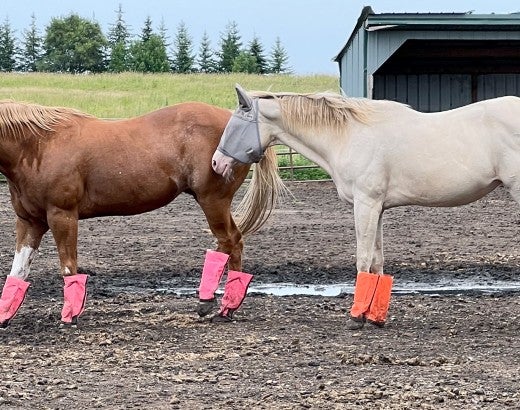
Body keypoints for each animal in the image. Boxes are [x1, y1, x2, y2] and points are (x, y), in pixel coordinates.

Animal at [0, 99, 284, 326]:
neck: (40, 145)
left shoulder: (62, 216)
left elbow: (68, 268)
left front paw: (70, 316)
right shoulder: (30, 221)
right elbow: (17, 271)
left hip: (213, 200)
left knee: (229, 241)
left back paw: (213, 303)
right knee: (233, 243)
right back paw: (227, 307)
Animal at [211, 84, 520, 330]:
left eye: (234, 123)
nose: (216, 163)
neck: (348, 136)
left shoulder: (366, 204)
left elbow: (362, 259)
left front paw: (356, 316)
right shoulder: (378, 208)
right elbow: (376, 262)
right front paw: (374, 317)